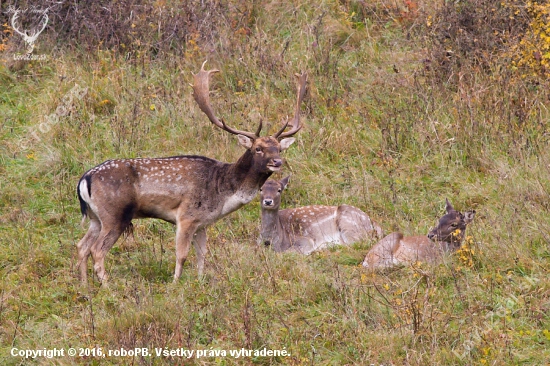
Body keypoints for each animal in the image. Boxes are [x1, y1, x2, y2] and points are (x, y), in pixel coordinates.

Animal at [76, 62, 310, 284]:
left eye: (279, 148)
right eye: (258, 148)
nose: (277, 162)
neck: (222, 190)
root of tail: (84, 179)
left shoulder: (202, 222)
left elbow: (202, 254)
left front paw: (200, 281)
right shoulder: (186, 216)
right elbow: (181, 255)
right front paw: (175, 284)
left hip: (95, 218)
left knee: (81, 246)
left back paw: (84, 286)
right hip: (114, 214)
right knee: (97, 251)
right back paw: (107, 287)